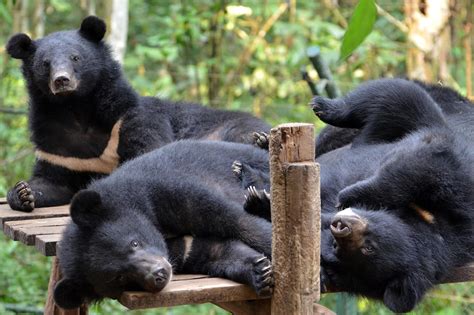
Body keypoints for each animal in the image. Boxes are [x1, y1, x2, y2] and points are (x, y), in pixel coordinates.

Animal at [6, 14, 270, 212]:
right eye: (45, 64)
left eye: (75, 58)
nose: (62, 80)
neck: (76, 107)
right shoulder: (57, 145)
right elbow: (52, 181)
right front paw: (22, 192)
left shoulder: (129, 117)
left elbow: (148, 151)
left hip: (230, 127)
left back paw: (262, 142)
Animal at [53, 142, 272, 310]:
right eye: (120, 278)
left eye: (134, 243)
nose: (159, 274)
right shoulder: (181, 250)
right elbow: (216, 251)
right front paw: (260, 272)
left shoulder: (168, 190)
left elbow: (237, 221)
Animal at [241, 79, 474, 314]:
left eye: (368, 248)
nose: (341, 227)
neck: (426, 219)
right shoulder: (457, 181)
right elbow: (422, 159)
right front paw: (348, 195)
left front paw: (260, 201)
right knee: (393, 97)